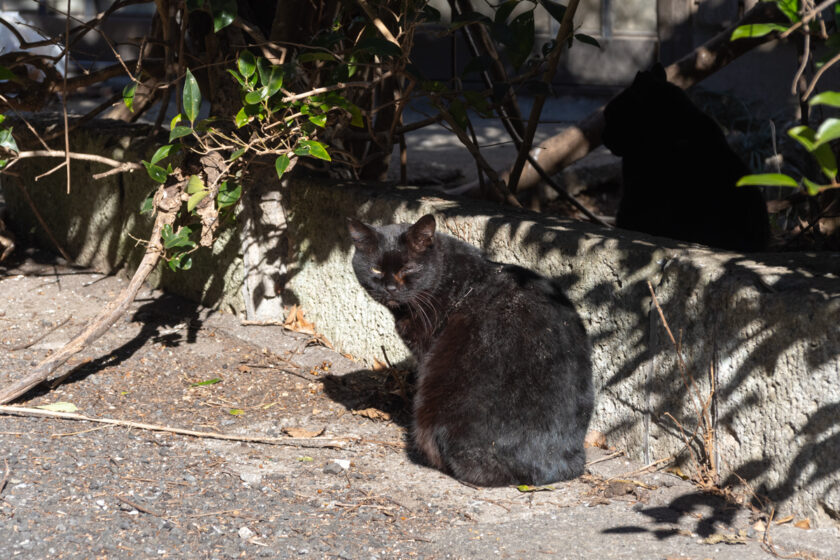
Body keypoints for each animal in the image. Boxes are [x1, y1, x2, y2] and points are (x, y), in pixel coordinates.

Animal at [344, 214, 592, 486]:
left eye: (408, 269)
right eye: (376, 269)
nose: (389, 287)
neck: (446, 276)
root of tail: (543, 466)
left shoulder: (425, 351)